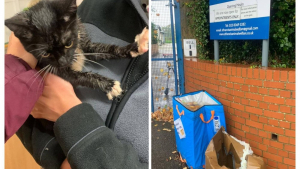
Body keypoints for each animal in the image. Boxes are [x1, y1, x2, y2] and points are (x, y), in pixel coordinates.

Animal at [5, 0, 148, 99]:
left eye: (68, 43)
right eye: (45, 54)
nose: (63, 62)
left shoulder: (85, 42)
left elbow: (106, 49)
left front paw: (135, 47)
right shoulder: (55, 69)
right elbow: (81, 76)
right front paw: (110, 86)